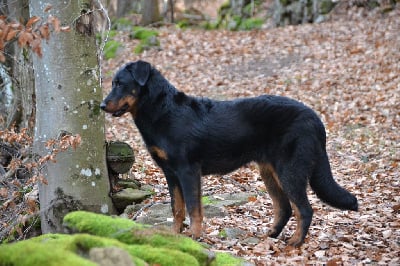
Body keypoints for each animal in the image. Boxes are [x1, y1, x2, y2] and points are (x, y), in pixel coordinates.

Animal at [101, 60, 358, 247]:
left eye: (120, 84)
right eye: (113, 83)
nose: (102, 106)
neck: (163, 111)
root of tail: (316, 119)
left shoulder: (187, 171)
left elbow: (193, 207)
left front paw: (194, 236)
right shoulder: (171, 174)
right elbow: (177, 208)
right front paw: (173, 236)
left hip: (290, 171)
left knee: (304, 209)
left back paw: (295, 242)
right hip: (270, 172)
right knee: (284, 208)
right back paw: (270, 235)